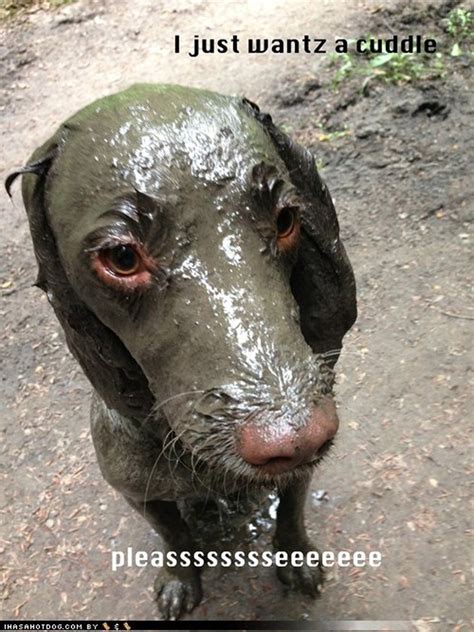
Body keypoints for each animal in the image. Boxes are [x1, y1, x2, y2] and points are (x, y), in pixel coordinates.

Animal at [6, 85, 356, 624]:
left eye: (285, 220)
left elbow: (292, 513)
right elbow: (173, 536)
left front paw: (296, 559)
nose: (295, 438)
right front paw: (179, 580)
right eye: (122, 258)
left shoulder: (300, 477)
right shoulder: (139, 492)